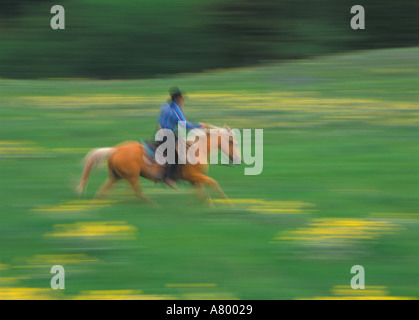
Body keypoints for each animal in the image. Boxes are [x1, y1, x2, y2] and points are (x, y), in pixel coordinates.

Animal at [75, 125, 240, 205]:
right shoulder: (193, 175)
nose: (238, 158)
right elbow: (213, 183)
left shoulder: (194, 179)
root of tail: (114, 150)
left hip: (116, 177)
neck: (197, 149)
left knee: (102, 191)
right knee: (138, 192)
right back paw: (154, 205)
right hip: (132, 176)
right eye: (232, 142)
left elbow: (202, 192)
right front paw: (228, 204)